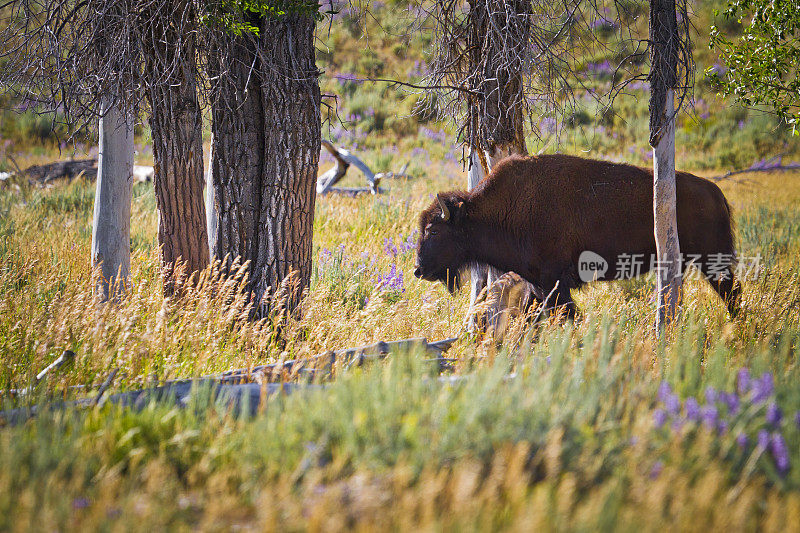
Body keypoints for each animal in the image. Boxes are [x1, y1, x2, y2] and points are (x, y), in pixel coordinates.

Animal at [416, 154, 740, 318]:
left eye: (433, 230)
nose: (419, 270)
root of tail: (715, 192)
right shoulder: (539, 284)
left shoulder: (555, 282)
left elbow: (567, 316)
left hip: (713, 260)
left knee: (731, 293)